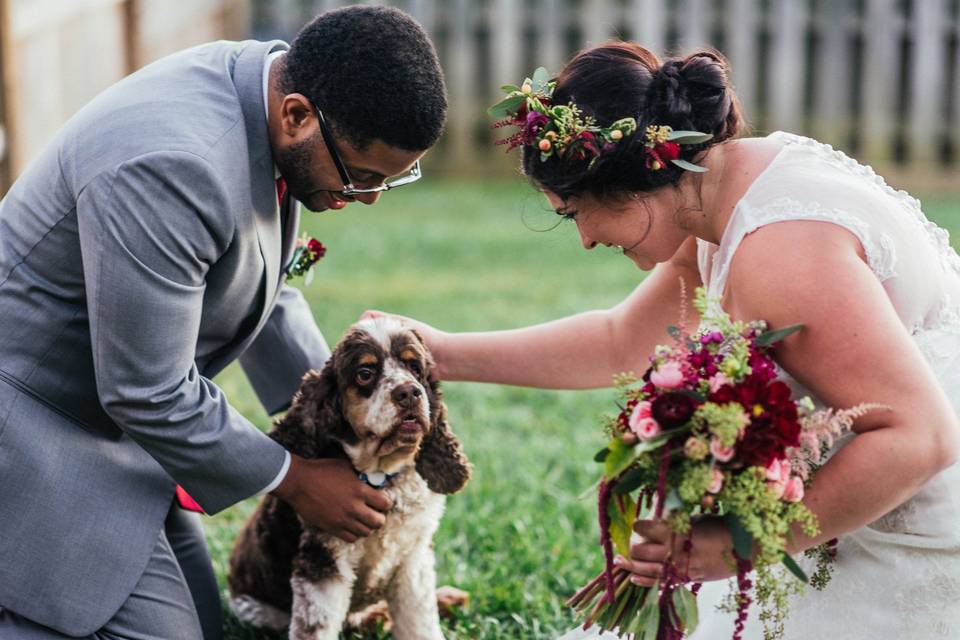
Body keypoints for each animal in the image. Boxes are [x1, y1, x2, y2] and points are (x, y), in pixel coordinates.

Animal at [232, 318, 472, 636]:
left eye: (415, 367)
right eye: (365, 374)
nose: (409, 392)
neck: (381, 476)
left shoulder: (414, 560)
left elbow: (419, 623)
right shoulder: (323, 561)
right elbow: (316, 628)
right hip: (257, 610)